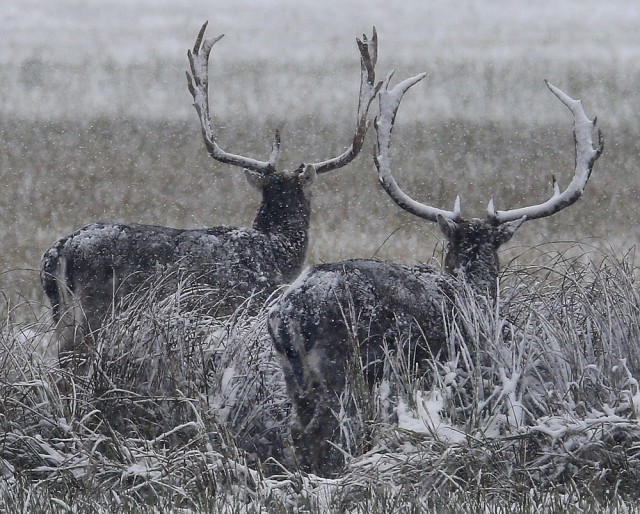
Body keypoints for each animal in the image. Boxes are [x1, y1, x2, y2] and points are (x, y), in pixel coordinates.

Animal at [266, 71, 604, 472]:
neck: (474, 293)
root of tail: (294, 310)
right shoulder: (462, 364)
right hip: (346, 367)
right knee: (317, 433)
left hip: (294, 375)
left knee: (293, 430)